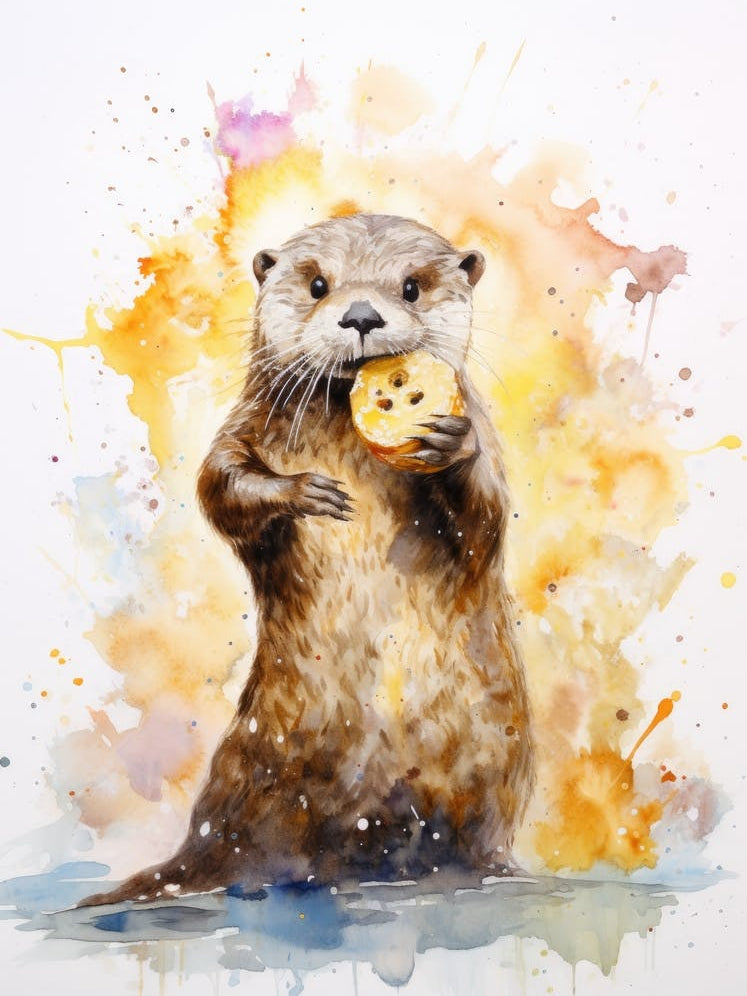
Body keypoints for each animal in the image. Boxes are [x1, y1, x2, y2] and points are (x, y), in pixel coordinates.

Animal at [83, 213, 534, 905]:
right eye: (318, 283)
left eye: (411, 287)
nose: (361, 314)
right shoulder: (243, 426)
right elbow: (219, 485)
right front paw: (305, 492)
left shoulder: (486, 443)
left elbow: (484, 516)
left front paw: (447, 444)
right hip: (264, 766)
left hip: (490, 768)